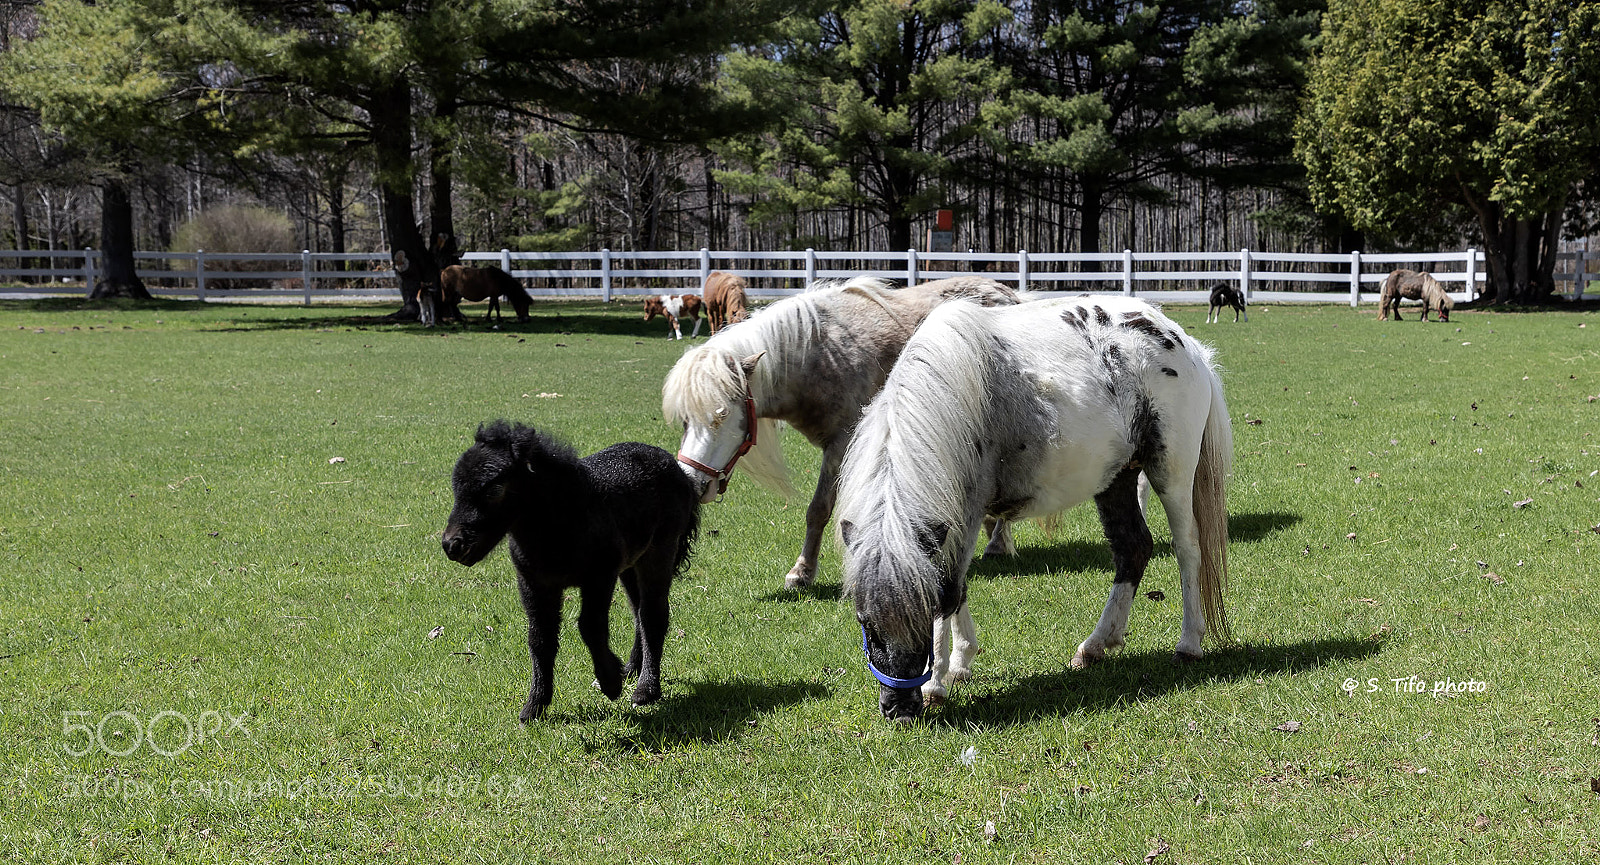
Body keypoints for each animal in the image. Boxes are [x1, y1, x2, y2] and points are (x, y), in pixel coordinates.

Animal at [441, 421, 700, 722]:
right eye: (455, 488)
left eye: (494, 489)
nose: (452, 545)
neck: (560, 524)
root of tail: (675, 467)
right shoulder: (535, 584)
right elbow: (540, 638)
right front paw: (535, 705)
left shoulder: (599, 576)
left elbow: (589, 626)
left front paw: (610, 682)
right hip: (630, 564)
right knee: (638, 611)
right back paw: (632, 669)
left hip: (660, 551)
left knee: (652, 614)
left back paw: (646, 689)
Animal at [836, 296, 1232, 721]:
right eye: (864, 622)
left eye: (921, 619)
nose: (899, 710)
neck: (948, 399)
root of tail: (1186, 343)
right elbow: (957, 590)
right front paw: (961, 663)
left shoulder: (967, 517)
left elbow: (948, 592)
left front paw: (937, 683)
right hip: (1117, 478)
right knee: (1133, 548)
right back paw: (1096, 645)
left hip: (1171, 472)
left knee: (1188, 549)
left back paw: (1189, 643)